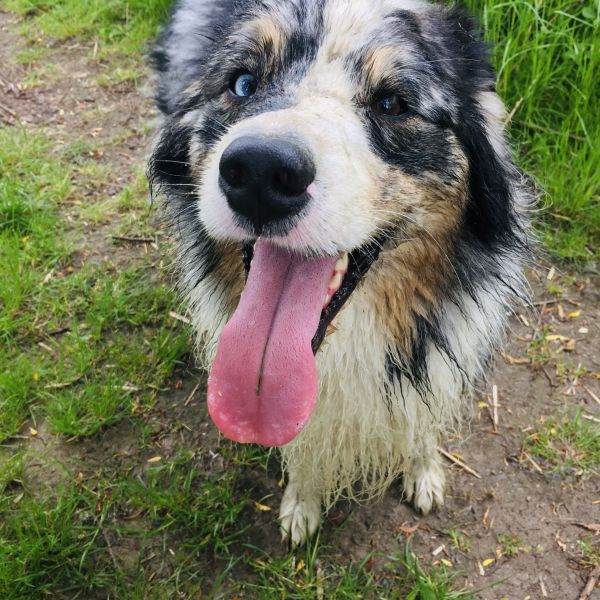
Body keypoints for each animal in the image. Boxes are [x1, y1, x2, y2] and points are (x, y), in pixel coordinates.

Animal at [149, 0, 528, 548]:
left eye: (392, 103)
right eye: (243, 84)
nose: (260, 172)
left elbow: (423, 419)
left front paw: (424, 472)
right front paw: (301, 505)